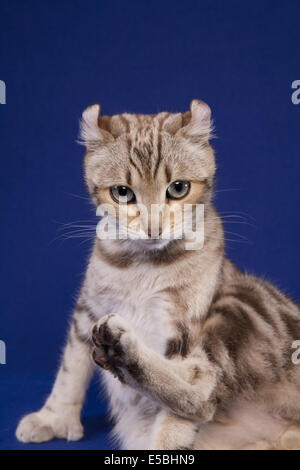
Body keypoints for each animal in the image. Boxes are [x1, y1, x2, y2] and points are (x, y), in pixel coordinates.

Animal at [15, 101, 300, 450]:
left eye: (178, 188)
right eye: (122, 193)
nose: (153, 228)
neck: (143, 267)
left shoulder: (183, 330)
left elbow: (179, 412)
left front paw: (164, 446)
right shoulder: (87, 311)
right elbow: (70, 370)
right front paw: (53, 417)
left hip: (245, 300)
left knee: (205, 392)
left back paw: (123, 353)